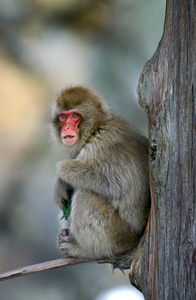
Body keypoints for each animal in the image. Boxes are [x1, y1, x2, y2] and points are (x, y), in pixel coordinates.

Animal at [51, 85, 150, 258]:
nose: (67, 127)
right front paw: (60, 186)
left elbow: (113, 183)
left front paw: (62, 170)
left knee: (86, 194)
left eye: (75, 116)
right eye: (63, 116)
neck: (94, 129)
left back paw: (86, 250)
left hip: (119, 234)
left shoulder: (105, 143)